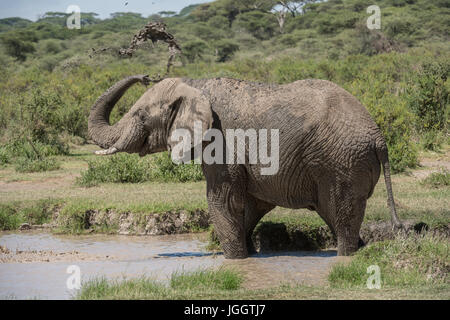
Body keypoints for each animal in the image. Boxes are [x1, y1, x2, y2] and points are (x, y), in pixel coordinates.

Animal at [89, 74, 404, 258]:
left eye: (141, 116)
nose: (144, 75)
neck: (195, 85)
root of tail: (379, 137)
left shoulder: (222, 141)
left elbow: (223, 200)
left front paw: (233, 260)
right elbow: (251, 204)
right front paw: (249, 254)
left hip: (343, 163)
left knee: (341, 214)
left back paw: (345, 256)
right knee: (334, 214)